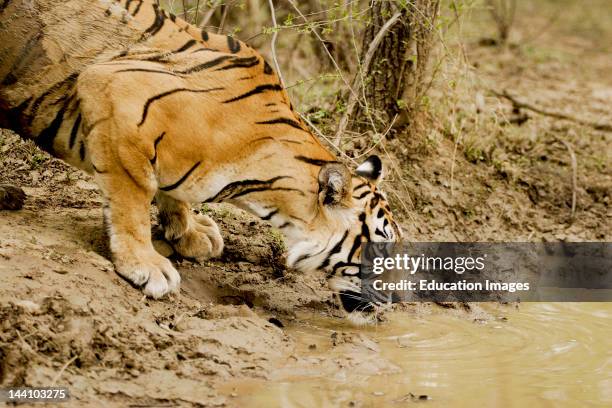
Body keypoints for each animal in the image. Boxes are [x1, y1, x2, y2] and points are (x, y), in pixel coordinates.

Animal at [0, 0, 402, 316]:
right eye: (380, 246)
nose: (400, 299)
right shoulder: (112, 87)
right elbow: (132, 197)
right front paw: (145, 264)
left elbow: (171, 191)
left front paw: (190, 232)